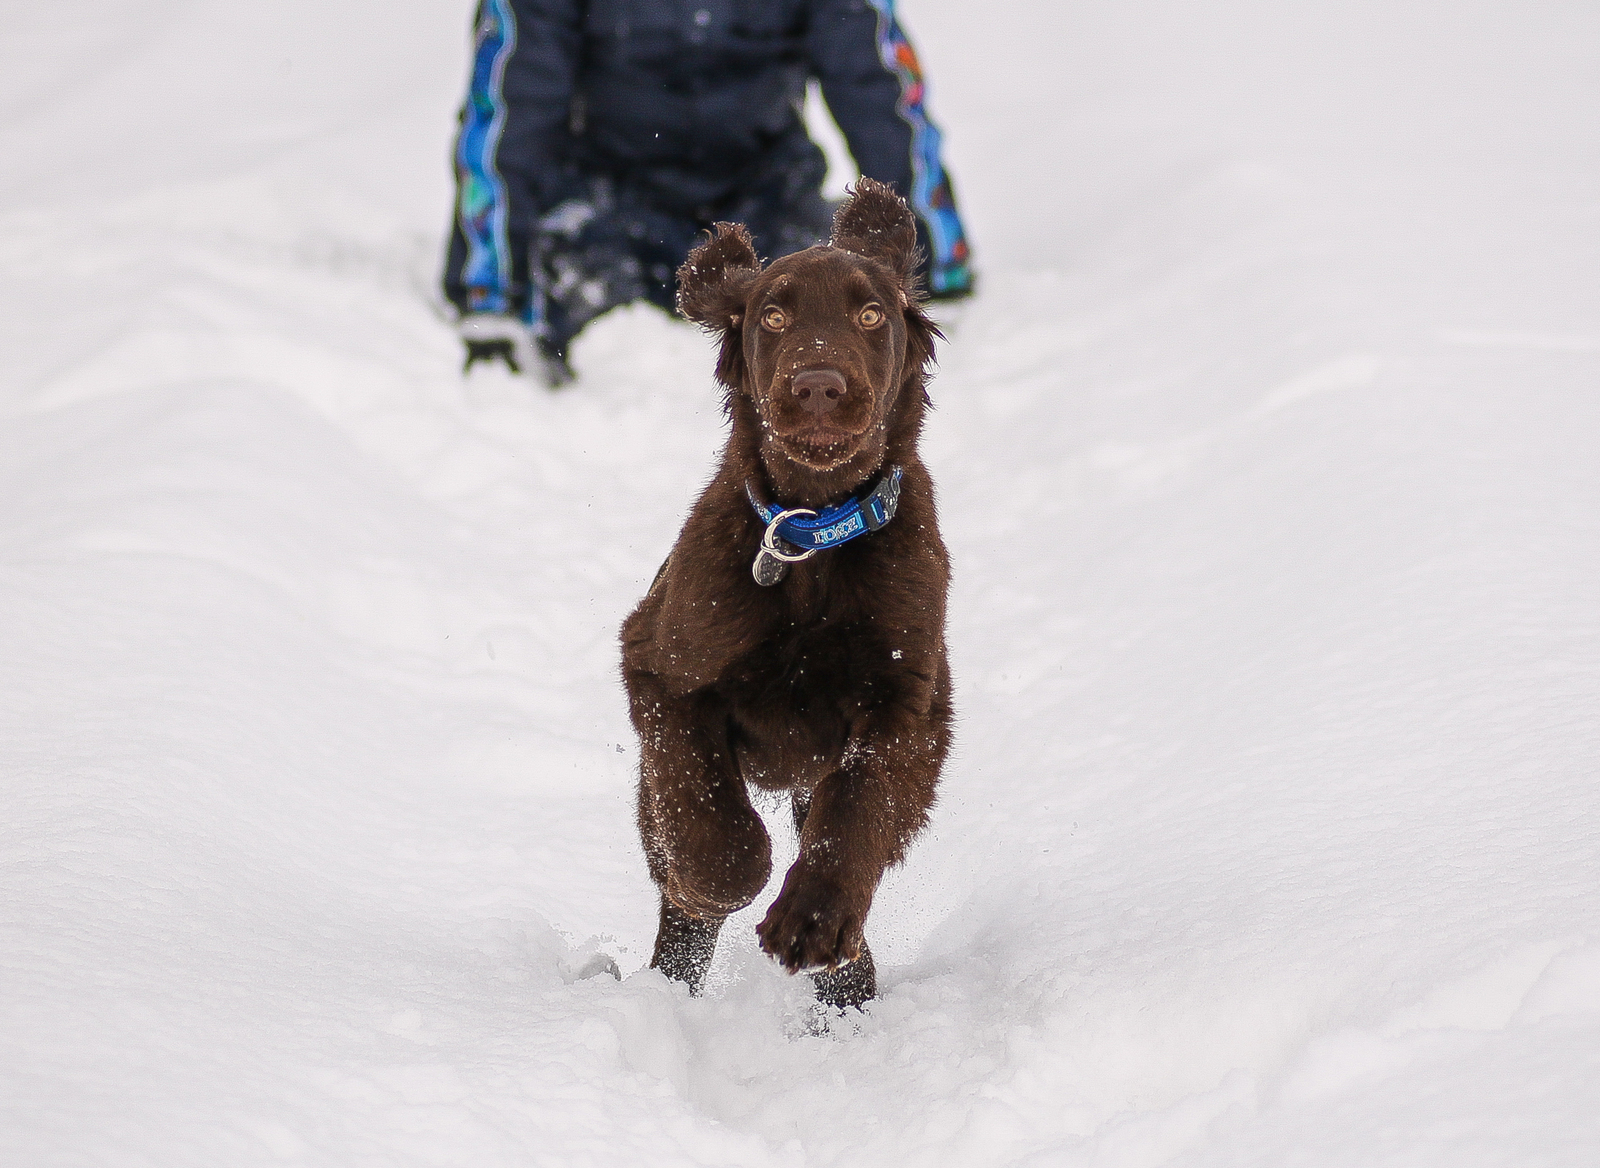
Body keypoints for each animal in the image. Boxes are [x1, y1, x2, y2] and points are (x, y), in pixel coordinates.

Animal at [620, 177, 947, 1004]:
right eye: (771, 316)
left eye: (871, 314)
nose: (818, 387)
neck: (810, 533)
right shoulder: (658, 666)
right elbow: (712, 826)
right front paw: (720, 882)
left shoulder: (911, 708)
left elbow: (855, 815)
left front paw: (815, 924)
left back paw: (848, 990)